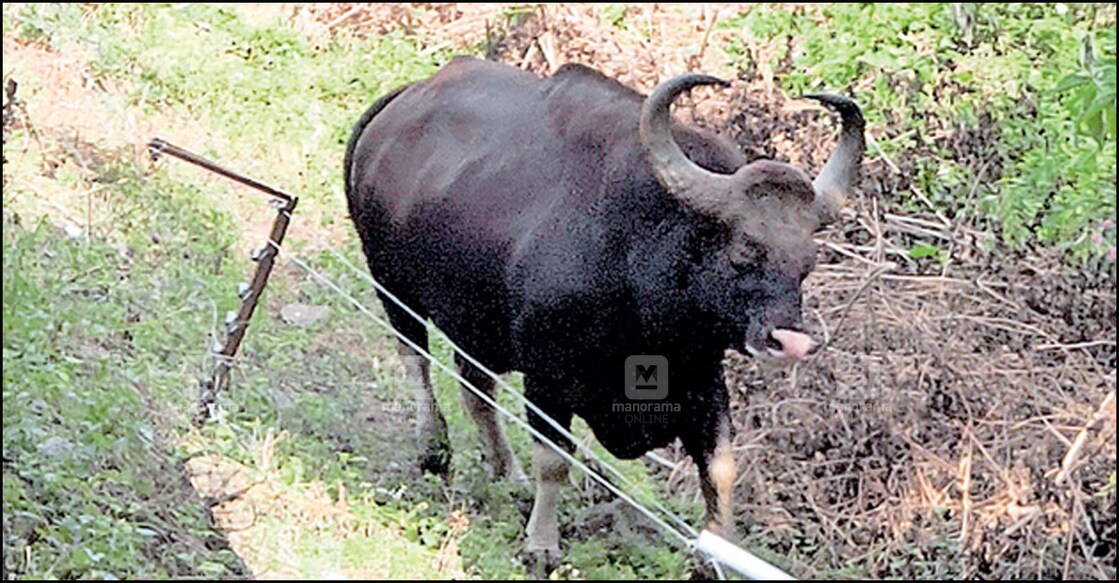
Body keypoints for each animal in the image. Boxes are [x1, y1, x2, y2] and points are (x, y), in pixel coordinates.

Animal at [344, 56, 864, 572]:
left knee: (476, 388)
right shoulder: (547, 379)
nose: (790, 341)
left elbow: (720, 469)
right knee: (416, 359)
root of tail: (398, 104)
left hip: (476, 325)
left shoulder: (704, 381)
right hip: (391, 285)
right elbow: (554, 459)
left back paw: (507, 472)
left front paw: (718, 556)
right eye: (744, 251)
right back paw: (434, 448)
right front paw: (541, 545)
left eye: (806, 263)